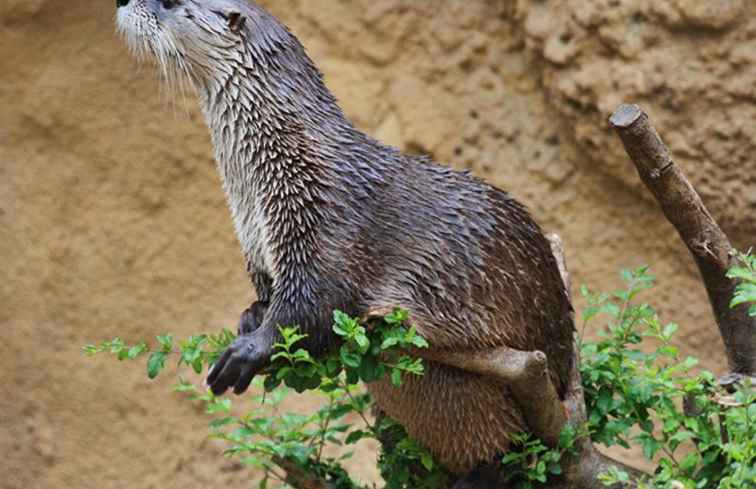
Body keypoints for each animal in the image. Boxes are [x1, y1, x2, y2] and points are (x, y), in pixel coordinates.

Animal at [115, 0, 572, 476]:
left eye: (170, 3)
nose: (123, 2)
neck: (274, 172)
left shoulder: (326, 226)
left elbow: (313, 305)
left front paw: (249, 350)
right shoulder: (259, 240)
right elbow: (270, 294)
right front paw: (250, 315)